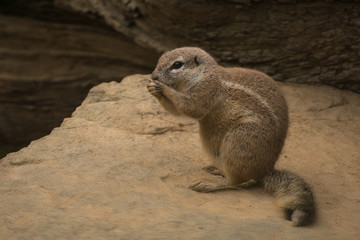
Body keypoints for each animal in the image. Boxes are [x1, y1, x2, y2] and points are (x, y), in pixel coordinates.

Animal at [146, 47, 316, 227]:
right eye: (160, 58)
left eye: (177, 64)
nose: (154, 75)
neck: (204, 74)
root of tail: (265, 170)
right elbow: (176, 110)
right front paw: (152, 88)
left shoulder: (206, 91)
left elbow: (191, 108)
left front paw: (163, 88)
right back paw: (216, 170)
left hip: (237, 141)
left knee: (236, 182)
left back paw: (208, 184)